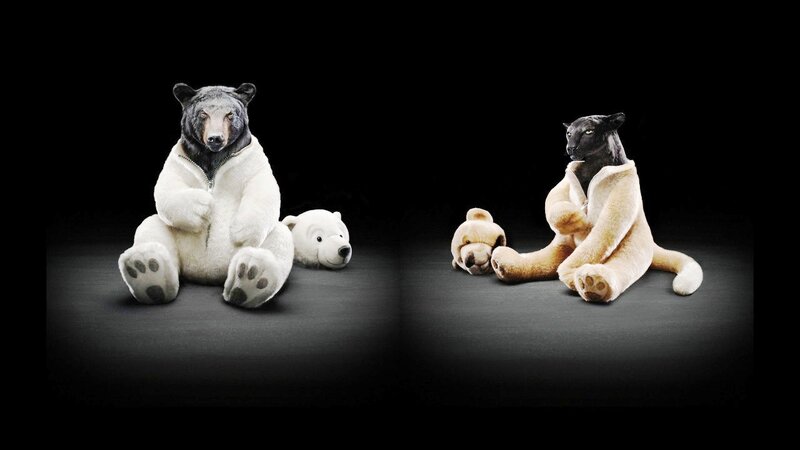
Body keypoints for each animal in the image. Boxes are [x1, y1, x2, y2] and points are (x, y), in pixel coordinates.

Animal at [118, 83, 294, 309]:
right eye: (203, 114)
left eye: (230, 114)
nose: (215, 138)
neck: (213, 157)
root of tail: (208, 274)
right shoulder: (179, 160)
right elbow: (167, 187)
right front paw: (203, 207)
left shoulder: (251, 159)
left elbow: (263, 185)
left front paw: (241, 230)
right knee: (151, 228)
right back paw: (147, 270)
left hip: (268, 240)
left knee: (279, 239)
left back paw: (251, 279)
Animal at [490, 112, 702, 302]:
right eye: (568, 133)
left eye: (588, 131)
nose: (570, 147)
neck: (592, 165)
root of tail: (652, 244)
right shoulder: (564, 183)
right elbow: (553, 201)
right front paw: (575, 218)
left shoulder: (624, 193)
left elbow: (603, 233)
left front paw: (571, 275)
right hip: (562, 244)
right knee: (540, 261)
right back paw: (503, 262)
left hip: (631, 247)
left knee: (615, 264)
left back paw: (593, 283)